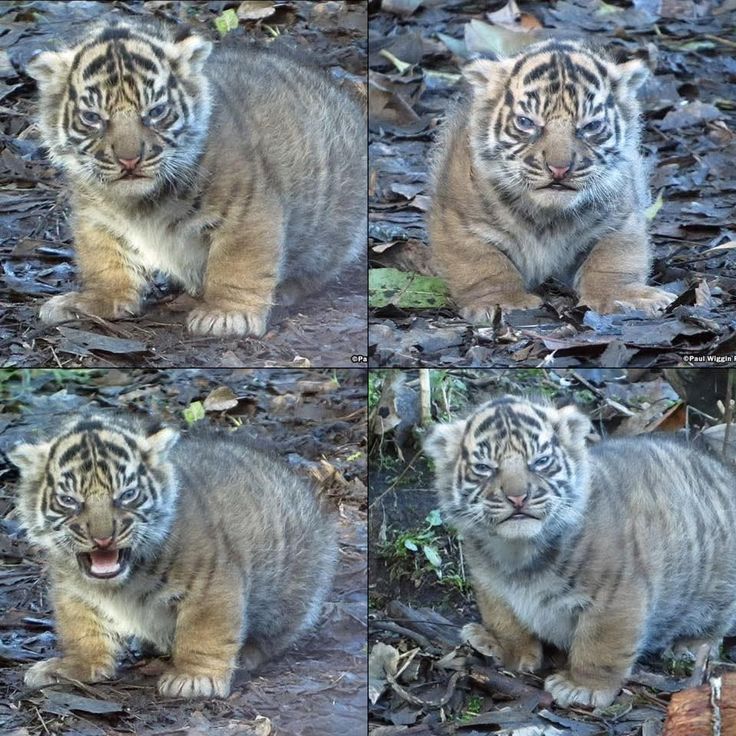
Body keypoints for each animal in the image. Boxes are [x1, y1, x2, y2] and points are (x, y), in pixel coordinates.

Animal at [9, 413, 337, 698]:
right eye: (69, 500)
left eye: (127, 495)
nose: (103, 538)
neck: (117, 584)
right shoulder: (72, 591)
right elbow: (80, 629)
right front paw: (72, 667)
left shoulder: (211, 584)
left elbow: (203, 632)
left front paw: (195, 679)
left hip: (289, 593)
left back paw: (246, 654)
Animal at [27, 17, 366, 337]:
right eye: (93, 118)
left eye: (156, 112)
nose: (129, 159)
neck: (137, 203)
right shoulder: (95, 217)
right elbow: (102, 260)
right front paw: (92, 301)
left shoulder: (247, 211)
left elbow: (237, 263)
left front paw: (228, 316)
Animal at [424, 394, 736, 708]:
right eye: (485, 467)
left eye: (541, 461)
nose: (517, 497)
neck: (518, 553)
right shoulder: (491, 586)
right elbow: (505, 622)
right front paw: (505, 649)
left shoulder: (616, 597)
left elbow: (600, 645)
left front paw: (583, 687)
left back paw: (690, 646)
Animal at [428, 40, 675, 323]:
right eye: (526, 122)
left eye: (590, 126)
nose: (559, 168)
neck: (547, 216)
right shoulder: (459, 222)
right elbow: (484, 264)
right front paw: (504, 302)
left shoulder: (621, 219)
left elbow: (614, 258)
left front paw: (621, 296)